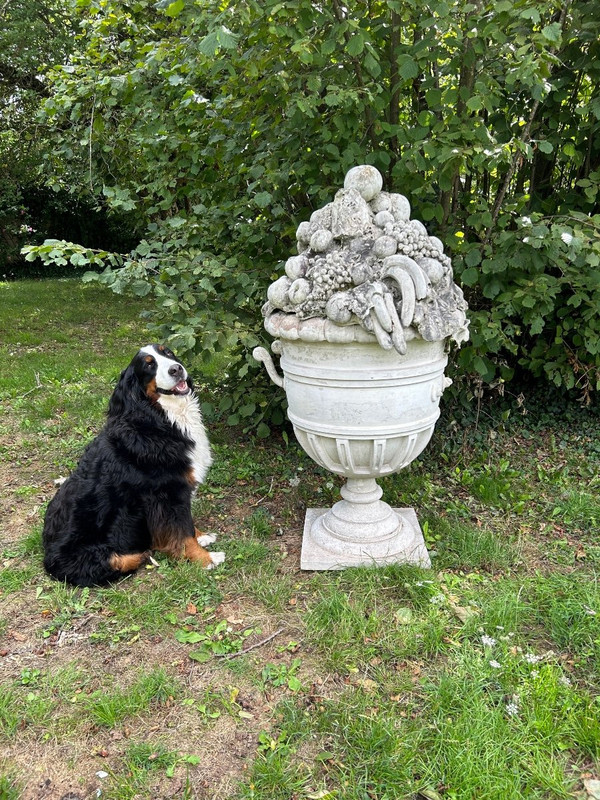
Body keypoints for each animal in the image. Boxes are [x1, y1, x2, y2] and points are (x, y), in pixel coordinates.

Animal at [41, 344, 225, 588]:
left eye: (168, 353)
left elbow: (187, 526)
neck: (159, 419)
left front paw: (202, 536)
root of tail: (48, 558)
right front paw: (205, 559)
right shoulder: (167, 493)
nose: (176, 369)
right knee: (118, 561)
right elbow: (183, 532)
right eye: (148, 365)